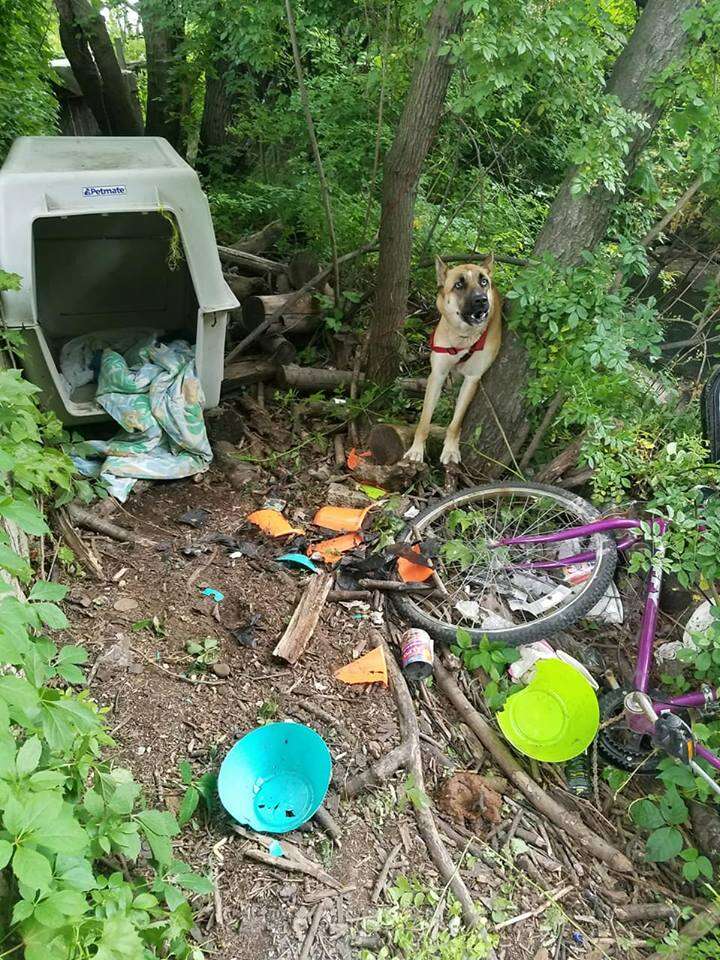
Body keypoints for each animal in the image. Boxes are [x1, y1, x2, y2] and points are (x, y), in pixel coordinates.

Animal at [404, 255, 500, 464]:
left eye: (484, 282)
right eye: (458, 285)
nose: (481, 300)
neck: (463, 337)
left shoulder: (472, 379)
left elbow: (456, 422)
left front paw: (450, 449)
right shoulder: (437, 375)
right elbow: (424, 420)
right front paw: (417, 449)